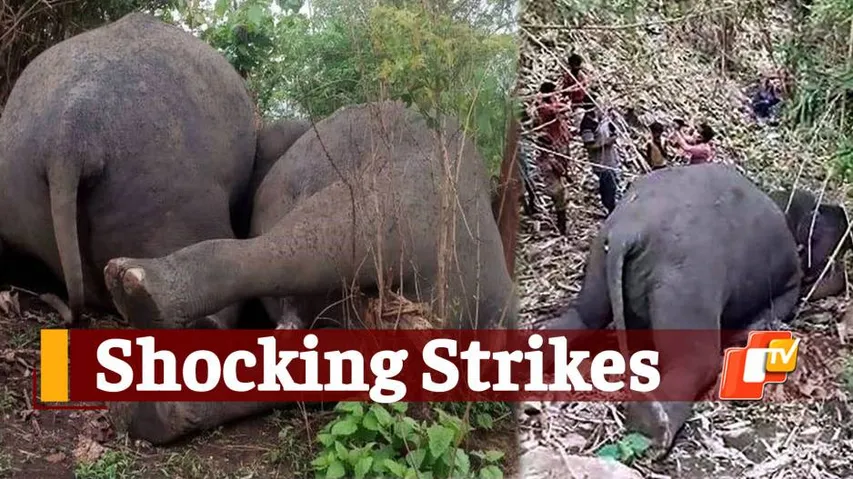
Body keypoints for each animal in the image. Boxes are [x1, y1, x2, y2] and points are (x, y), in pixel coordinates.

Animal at [542, 163, 803, 457]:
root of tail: (629, 230)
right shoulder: (789, 285)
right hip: (687, 290)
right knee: (694, 362)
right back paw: (654, 428)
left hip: (598, 267)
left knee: (580, 319)